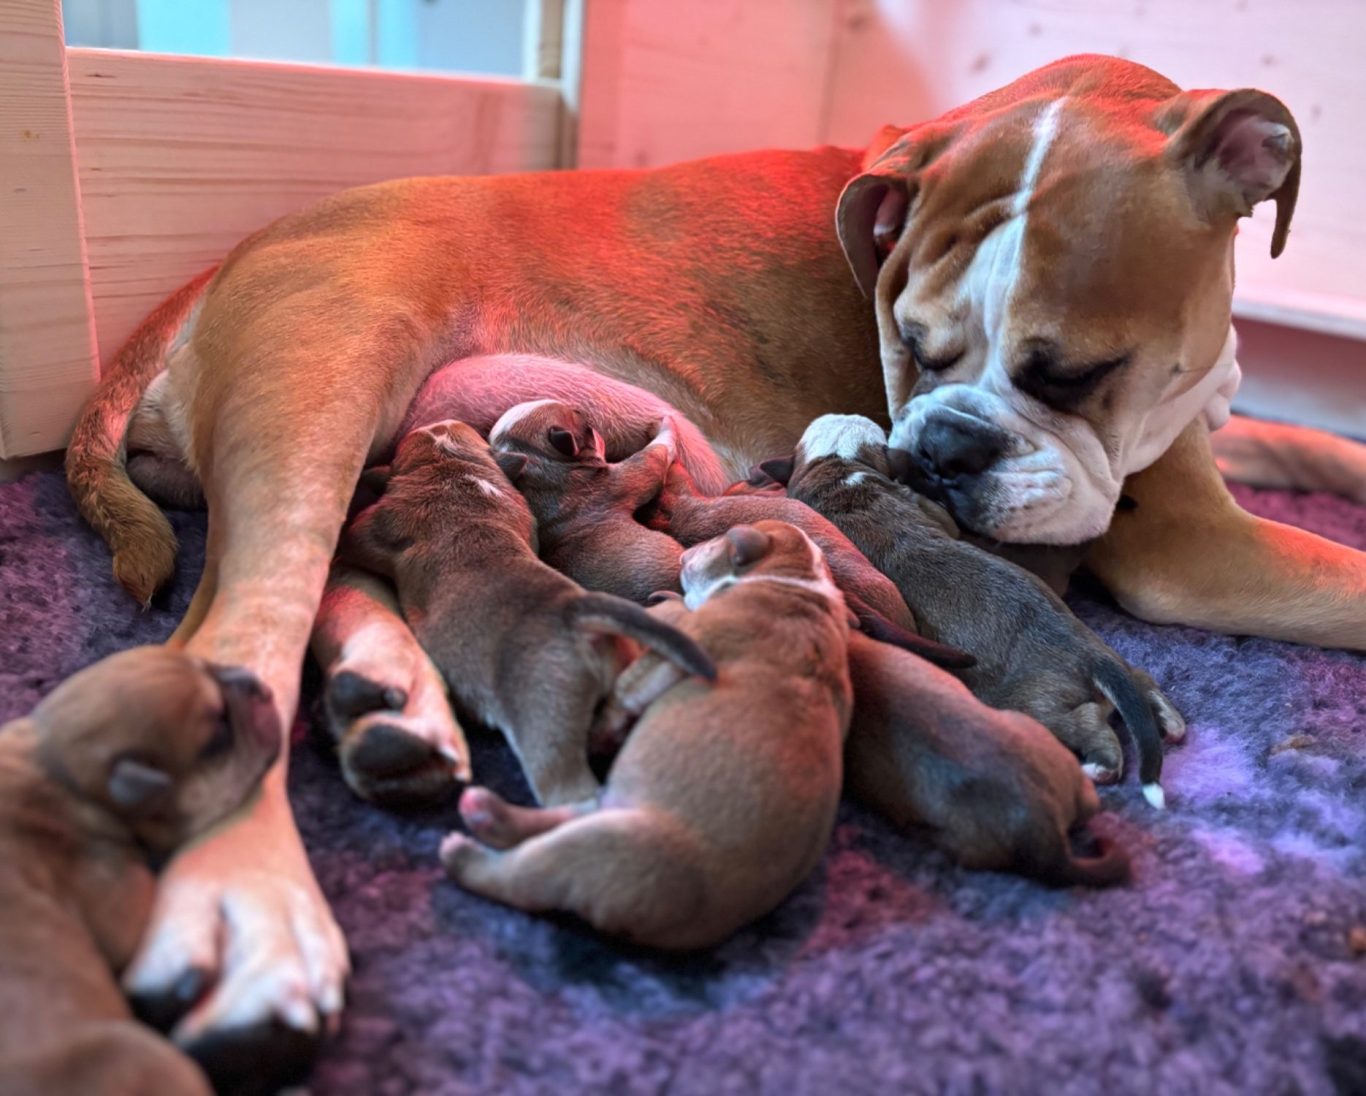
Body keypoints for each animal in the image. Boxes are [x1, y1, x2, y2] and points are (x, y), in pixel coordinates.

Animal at [0, 647, 279, 1095]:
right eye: (217, 737)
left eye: (206, 664)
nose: (260, 686)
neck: (60, 768)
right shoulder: (111, 891)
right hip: (146, 1056)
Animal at [340, 419, 716, 805]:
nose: (437, 422)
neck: (451, 470)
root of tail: (577, 611)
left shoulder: (378, 524)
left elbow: (354, 535)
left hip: (548, 725)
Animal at [439, 521, 853, 950]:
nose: (687, 551)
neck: (795, 581)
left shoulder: (683, 645)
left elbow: (628, 689)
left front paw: (605, 728)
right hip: (610, 818)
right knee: (568, 817)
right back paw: (487, 813)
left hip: (606, 851)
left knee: (522, 875)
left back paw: (465, 852)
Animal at [761, 414, 1181, 803]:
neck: (839, 466)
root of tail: (1090, 655)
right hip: (1099, 657)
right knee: (1139, 679)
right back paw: (1167, 719)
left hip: (1035, 702)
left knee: (1088, 721)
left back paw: (1102, 765)